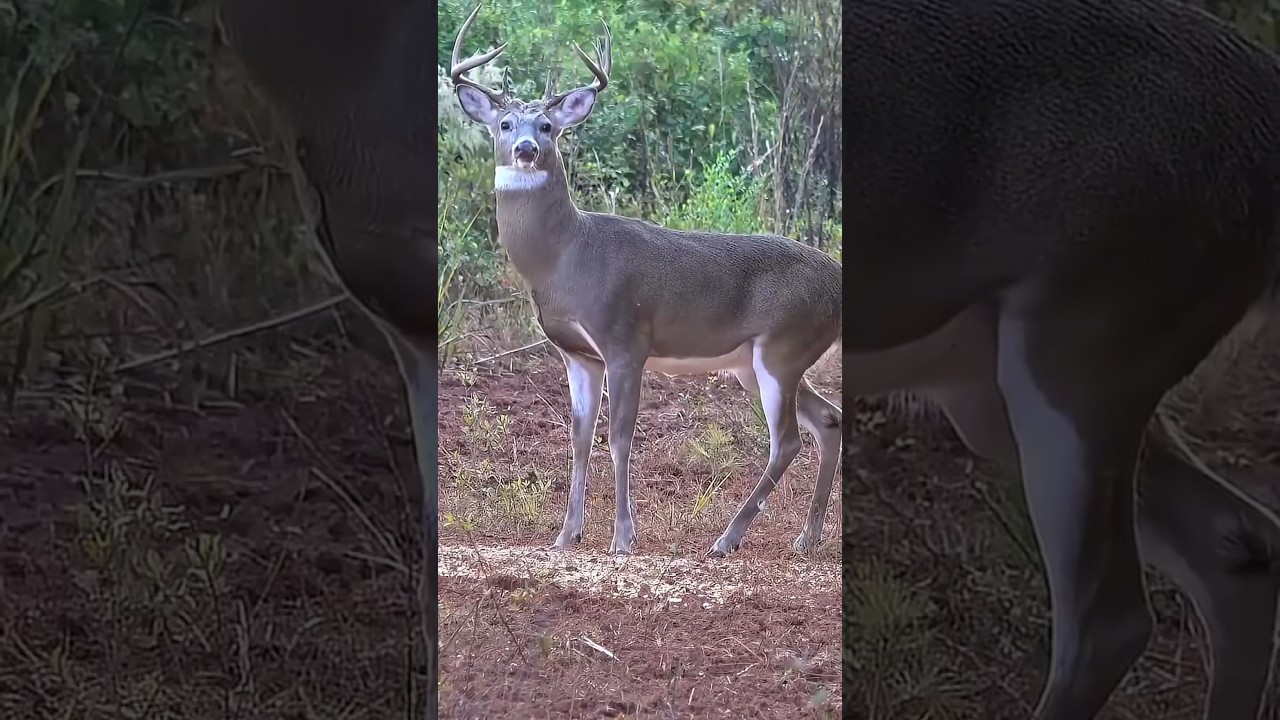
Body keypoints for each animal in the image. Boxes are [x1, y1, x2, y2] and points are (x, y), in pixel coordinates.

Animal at [447, 6, 843, 558]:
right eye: (504, 123)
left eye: (547, 125)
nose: (525, 149)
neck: (565, 258)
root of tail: (839, 278)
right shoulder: (578, 354)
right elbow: (579, 437)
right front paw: (565, 536)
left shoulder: (625, 339)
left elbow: (619, 438)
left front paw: (622, 538)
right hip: (758, 361)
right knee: (828, 419)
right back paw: (805, 539)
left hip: (784, 346)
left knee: (786, 440)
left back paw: (727, 539)